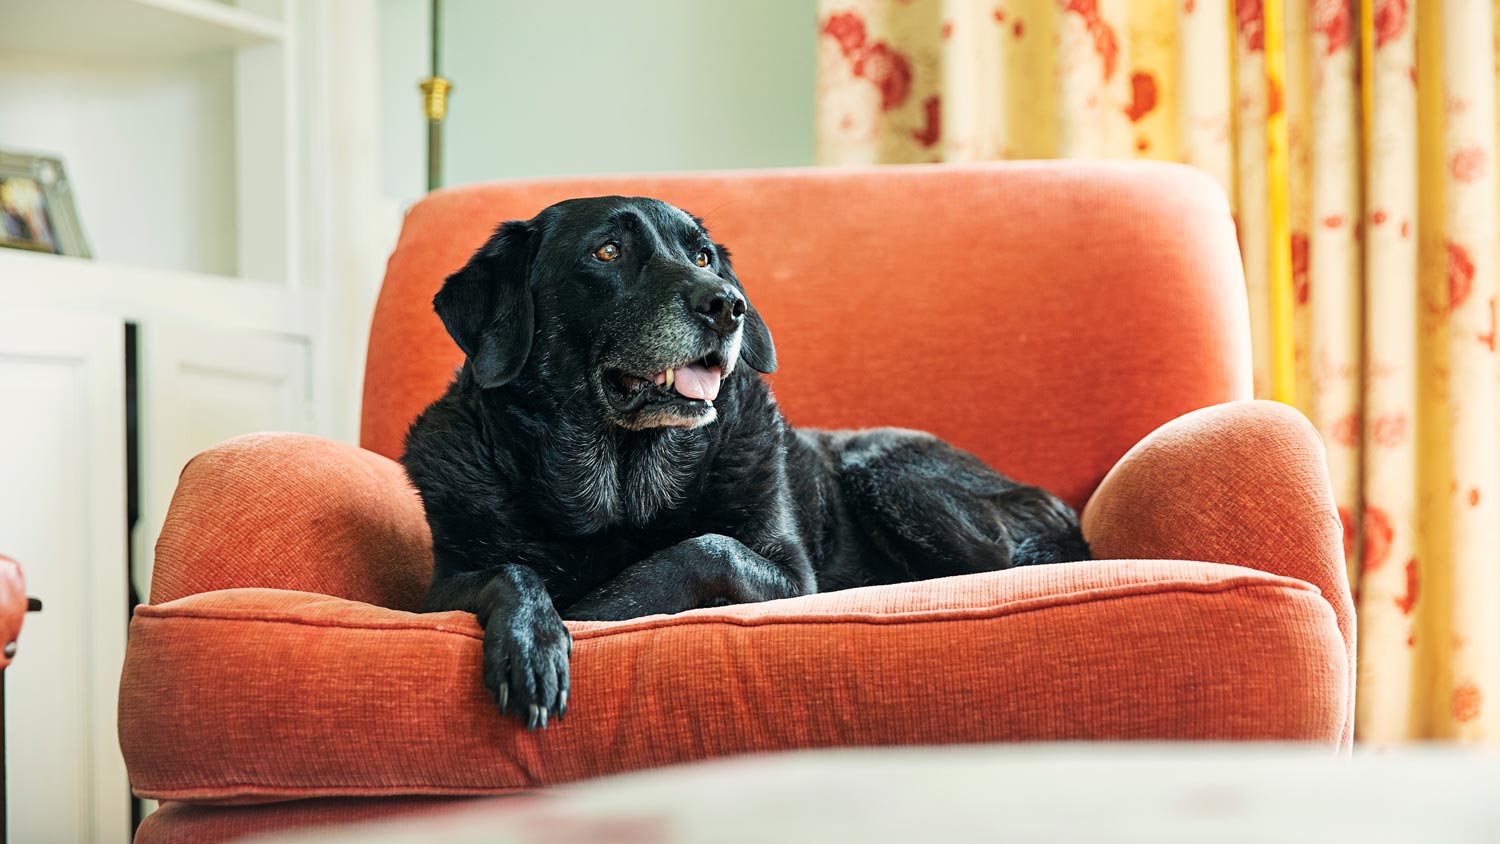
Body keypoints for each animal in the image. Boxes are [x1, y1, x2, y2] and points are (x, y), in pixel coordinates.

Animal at [405, 194, 1086, 728]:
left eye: (703, 257)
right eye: (608, 253)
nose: (727, 304)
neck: (619, 491)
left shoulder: (792, 578)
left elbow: (707, 548)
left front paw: (591, 610)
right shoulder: (435, 591)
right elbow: (510, 571)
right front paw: (534, 637)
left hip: (889, 474)